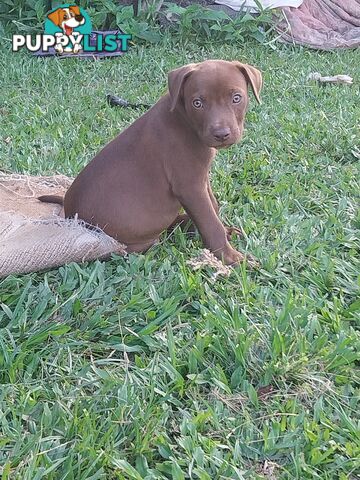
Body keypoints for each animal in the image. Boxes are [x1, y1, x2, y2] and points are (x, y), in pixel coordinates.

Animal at [40, 60, 262, 264]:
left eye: (236, 98)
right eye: (197, 103)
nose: (221, 135)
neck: (183, 117)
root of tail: (71, 216)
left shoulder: (200, 177)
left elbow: (213, 206)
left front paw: (224, 232)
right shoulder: (189, 185)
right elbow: (209, 221)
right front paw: (230, 256)